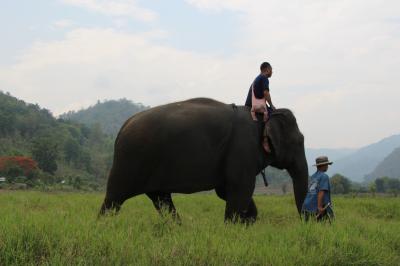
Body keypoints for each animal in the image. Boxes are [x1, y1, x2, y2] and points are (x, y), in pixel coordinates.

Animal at [100, 97, 310, 222]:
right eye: (299, 142)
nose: (311, 219)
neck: (264, 116)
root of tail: (123, 127)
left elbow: (226, 191)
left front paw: (248, 222)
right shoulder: (242, 149)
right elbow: (239, 189)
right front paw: (235, 227)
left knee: (161, 199)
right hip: (130, 161)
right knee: (113, 199)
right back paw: (104, 227)